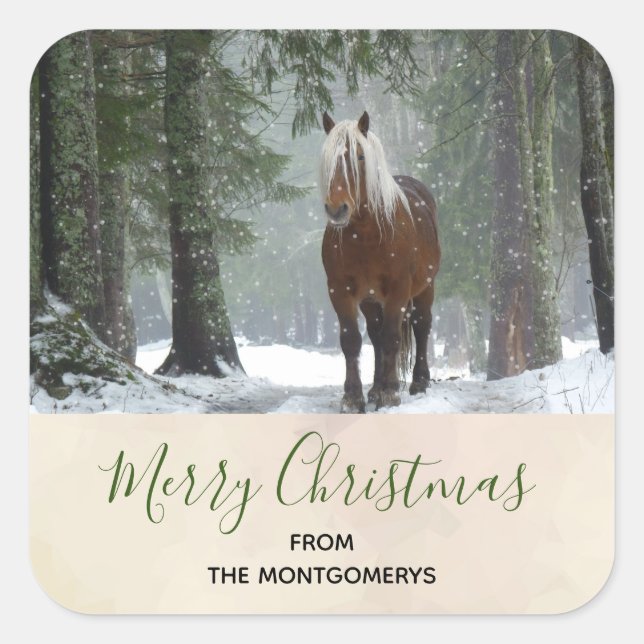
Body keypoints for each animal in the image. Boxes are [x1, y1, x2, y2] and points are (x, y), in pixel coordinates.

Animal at [320, 111, 440, 413]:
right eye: (327, 159)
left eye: (360, 157)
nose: (337, 209)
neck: (366, 235)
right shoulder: (340, 290)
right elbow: (352, 340)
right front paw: (353, 397)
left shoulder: (399, 289)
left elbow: (392, 338)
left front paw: (390, 393)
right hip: (370, 299)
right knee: (375, 335)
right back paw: (374, 389)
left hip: (425, 288)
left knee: (421, 326)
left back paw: (418, 382)